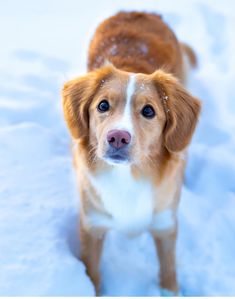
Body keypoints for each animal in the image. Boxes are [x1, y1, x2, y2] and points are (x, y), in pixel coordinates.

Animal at [62, 11, 200, 298]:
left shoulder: (164, 224)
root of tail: (141, 12)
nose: (117, 137)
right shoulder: (92, 225)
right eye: (103, 105)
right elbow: (93, 273)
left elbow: (169, 272)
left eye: (148, 111)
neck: (128, 178)